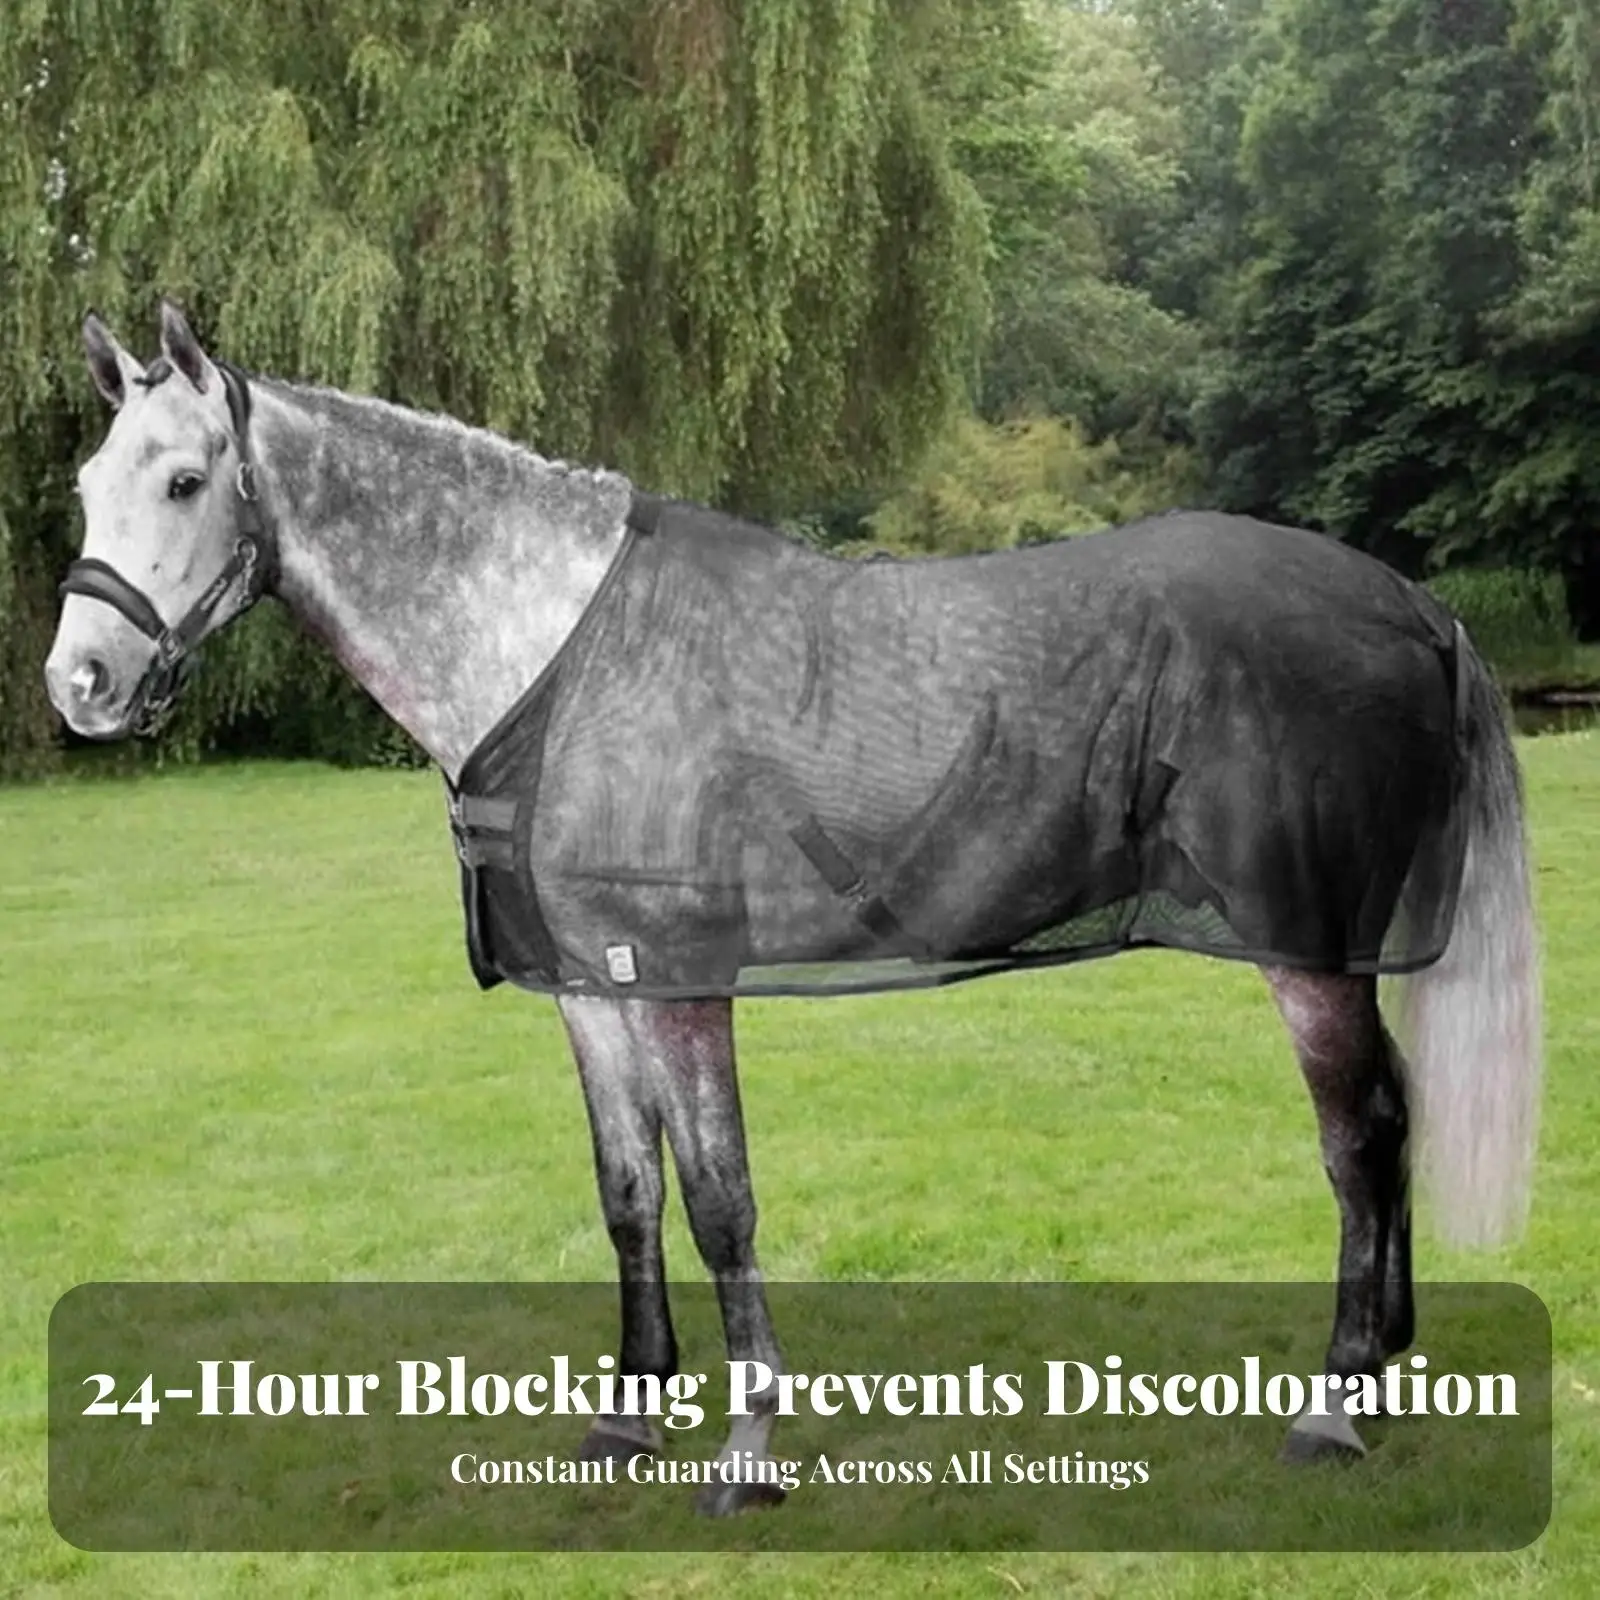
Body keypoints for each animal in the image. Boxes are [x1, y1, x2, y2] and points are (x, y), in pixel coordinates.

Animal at [44, 303, 1542, 1512]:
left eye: (185, 479)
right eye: (85, 483)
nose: (80, 685)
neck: (559, 655)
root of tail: (1415, 606)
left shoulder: (680, 980)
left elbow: (721, 1200)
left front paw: (748, 1448)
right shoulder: (594, 987)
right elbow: (629, 1195)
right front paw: (625, 1424)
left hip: (1308, 952)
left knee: (1359, 1142)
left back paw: (1335, 1405)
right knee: (1394, 1120)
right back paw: (1389, 1371)